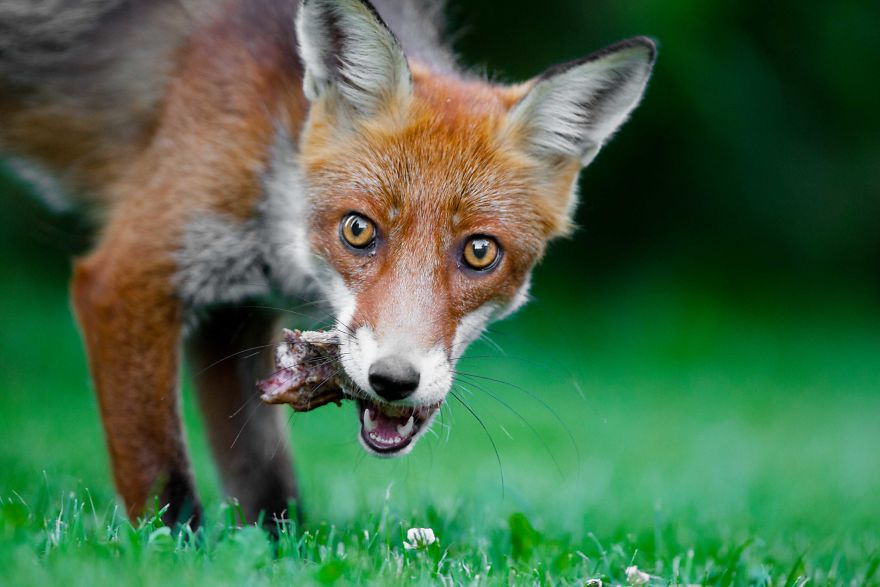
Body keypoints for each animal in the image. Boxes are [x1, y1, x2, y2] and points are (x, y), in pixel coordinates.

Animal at [0, 0, 655, 528]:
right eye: (358, 230)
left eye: (479, 251)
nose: (394, 380)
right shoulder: (129, 274)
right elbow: (165, 484)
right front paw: (169, 558)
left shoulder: (233, 317)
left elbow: (267, 488)